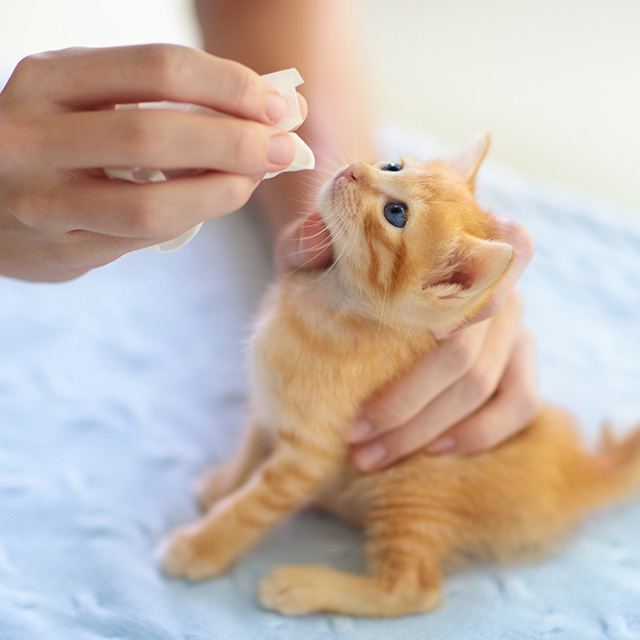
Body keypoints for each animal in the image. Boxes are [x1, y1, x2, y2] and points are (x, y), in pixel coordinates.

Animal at [158, 134, 640, 616]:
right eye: (393, 166)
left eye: (396, 213)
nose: (354, 169)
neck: (324, 302)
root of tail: (578, 470)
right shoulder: (268, 408)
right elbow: (250, 447)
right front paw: (224, 484)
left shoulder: (310, 455)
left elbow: (252, 506)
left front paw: (201, 547)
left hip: (412, 488)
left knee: (412, 590)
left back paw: (305, 585)